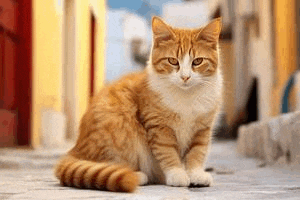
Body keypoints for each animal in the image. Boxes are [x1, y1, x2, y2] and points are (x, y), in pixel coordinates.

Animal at [54, 16, 223, 192]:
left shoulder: (202, 129)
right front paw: (177, 174)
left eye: (197, 61)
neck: (186, 97)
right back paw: (138, 175)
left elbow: (197, 153)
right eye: (172, 61)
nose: (185, 77)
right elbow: (167, 152)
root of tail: (75, 149)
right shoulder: (159, 128)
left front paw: (195, 174)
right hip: (118, 129)